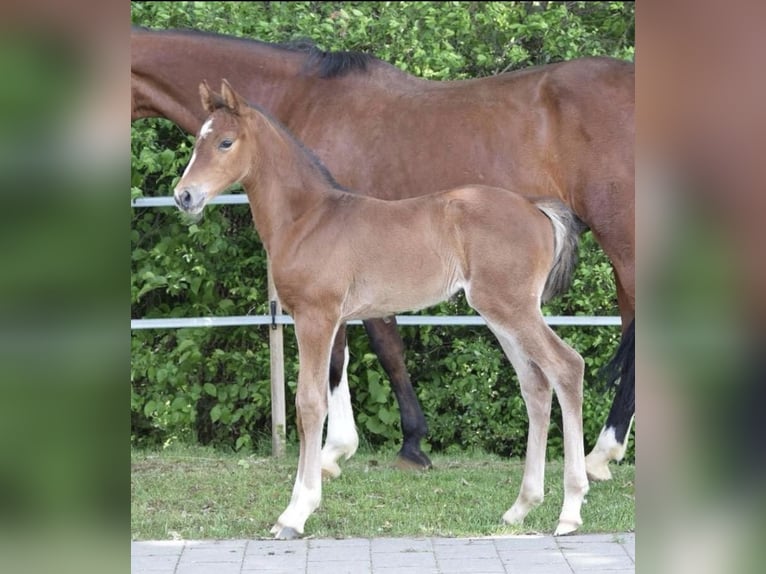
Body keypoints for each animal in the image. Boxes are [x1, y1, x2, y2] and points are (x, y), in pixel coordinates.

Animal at [132, 25, 636, 482]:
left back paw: (598, 456)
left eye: (224, 142)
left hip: (621, 240)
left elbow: (363, 350)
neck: (303, 97)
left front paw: (351, 449)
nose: (183, 197)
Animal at [176, 80, 592, 540]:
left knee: (567, 366)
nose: (184, 195)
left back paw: (570, 510)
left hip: (512, 307)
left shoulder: (316, 317)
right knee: (535, 384)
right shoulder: (332, 319)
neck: (307, 218)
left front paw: (295, 513)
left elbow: (309, 403)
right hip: (501, 312)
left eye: (225, 142)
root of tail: (536, 208)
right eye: (197, 141)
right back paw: (520, 507)